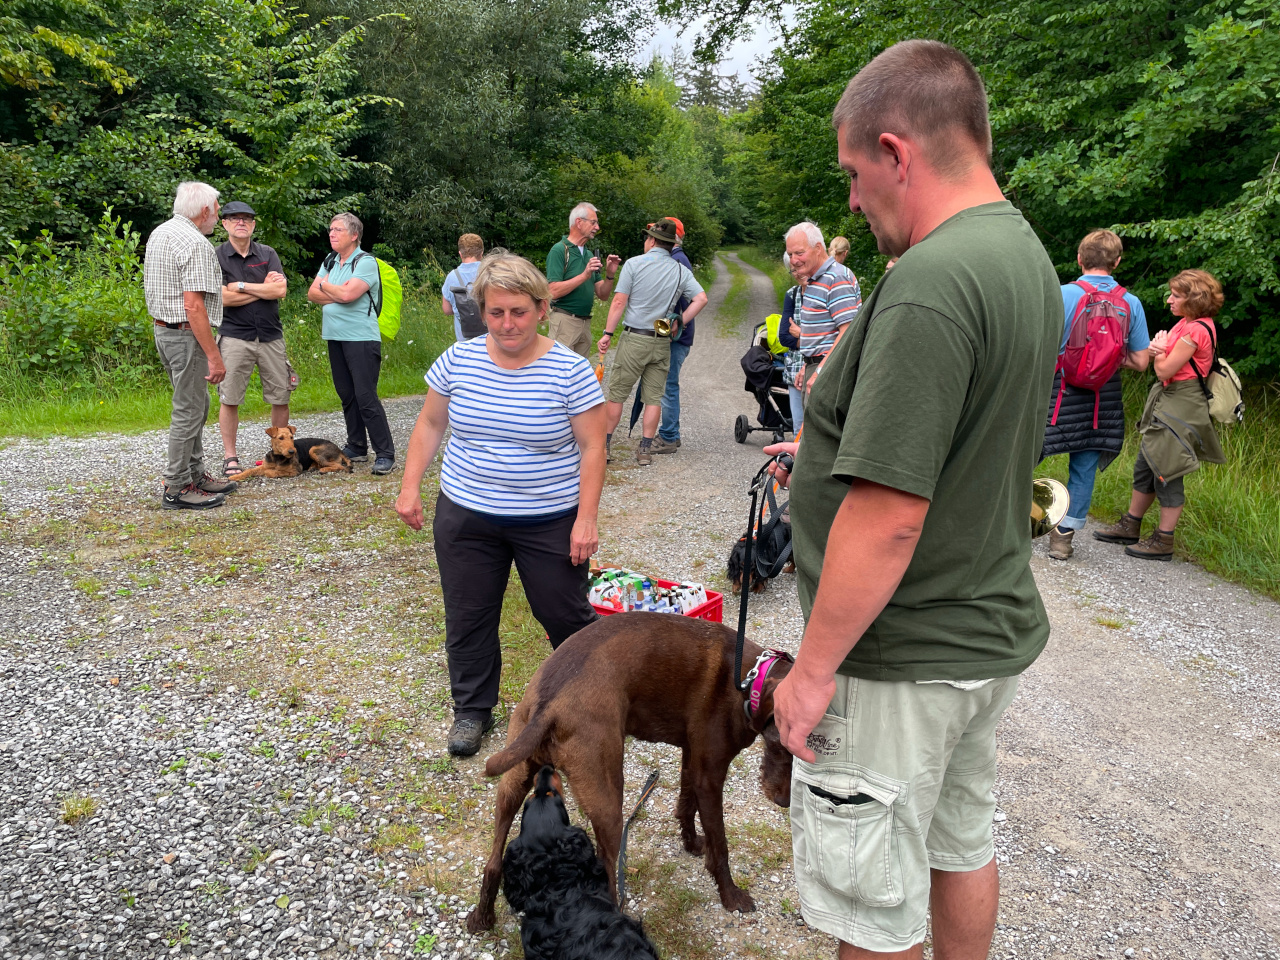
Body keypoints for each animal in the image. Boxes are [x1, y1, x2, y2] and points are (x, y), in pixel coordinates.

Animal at [465, 611, 793, 936]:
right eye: (780, 744)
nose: (785, 802)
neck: (750, 678)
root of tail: (550, 705)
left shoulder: (693, 759)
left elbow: (686, 806)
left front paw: (691, 844)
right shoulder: (710, 776)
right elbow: (720, 845)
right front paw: (731, 896)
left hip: (513, 783)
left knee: (493, 862)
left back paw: (483, 918)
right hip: (610, 805)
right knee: (608, 876)